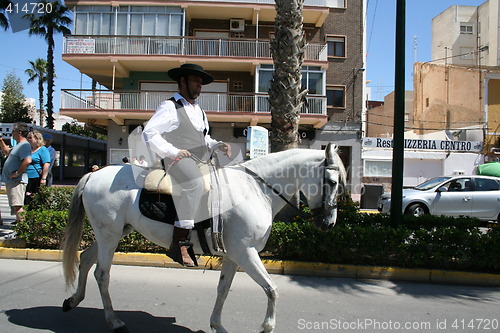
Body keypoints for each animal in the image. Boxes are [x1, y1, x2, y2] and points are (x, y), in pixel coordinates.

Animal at [60, 144, 346, 332]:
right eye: (332, 182)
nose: (329, 224)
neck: (255, 189)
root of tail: (94, 174)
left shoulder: (234, 256)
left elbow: (223, 289)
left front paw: (217, 325)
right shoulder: (246, 253)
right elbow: (272, 289)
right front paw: (267, 326)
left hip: (114, 232)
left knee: (86, 259)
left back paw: (73, 300)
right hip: (109, 235)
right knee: (102, 274)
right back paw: (114, 320)